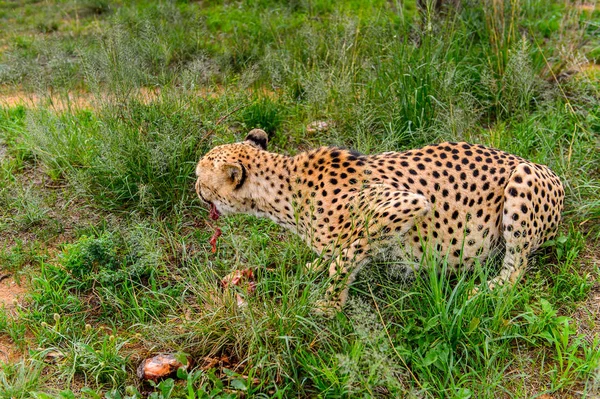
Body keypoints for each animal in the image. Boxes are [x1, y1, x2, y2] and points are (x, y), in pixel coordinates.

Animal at [195, 130, 564, 314]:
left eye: (200, 175)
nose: (194, 187)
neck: (283, 189)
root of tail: (553, 173)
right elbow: (331, 257)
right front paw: (314, 267)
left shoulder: (405, 204)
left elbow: (345, 257)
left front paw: (328, 305)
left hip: (523, 182)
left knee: (516, 267)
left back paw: (486, 288)